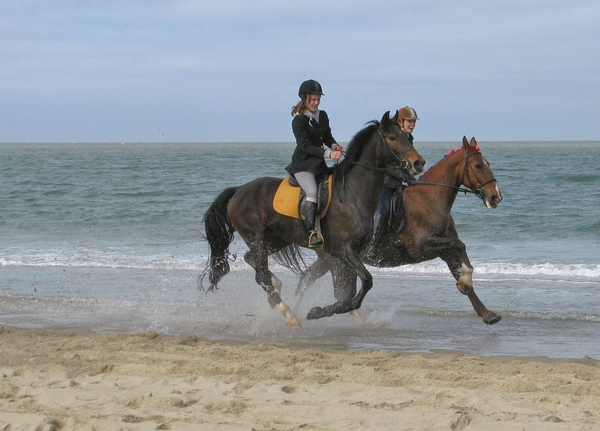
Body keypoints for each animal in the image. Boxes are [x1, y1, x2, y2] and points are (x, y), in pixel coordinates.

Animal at [202, 111, 426, 328]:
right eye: (392, 137)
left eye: (406, 135)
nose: (418, 163)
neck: (352, 194)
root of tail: (238, 191)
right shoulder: (343, 250)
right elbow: (363, 282)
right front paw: (321, 311)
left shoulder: (349, 253)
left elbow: (348, 290)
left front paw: (326, 311)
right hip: (257, 238)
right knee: (261, 275)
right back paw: (290, 315)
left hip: (276, 239)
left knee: (253, 261)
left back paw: (277, 293)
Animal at [292, 137, 504, 326]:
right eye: (478, 166)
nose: (496, 197)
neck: (430, 198)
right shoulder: (424, 245)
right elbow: (460, 247)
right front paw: (465, 281)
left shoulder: (444, 250)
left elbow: (461, 264)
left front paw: (485, 312)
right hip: (336, 260)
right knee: (336, 291)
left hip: (329, 260)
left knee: (307, 280)